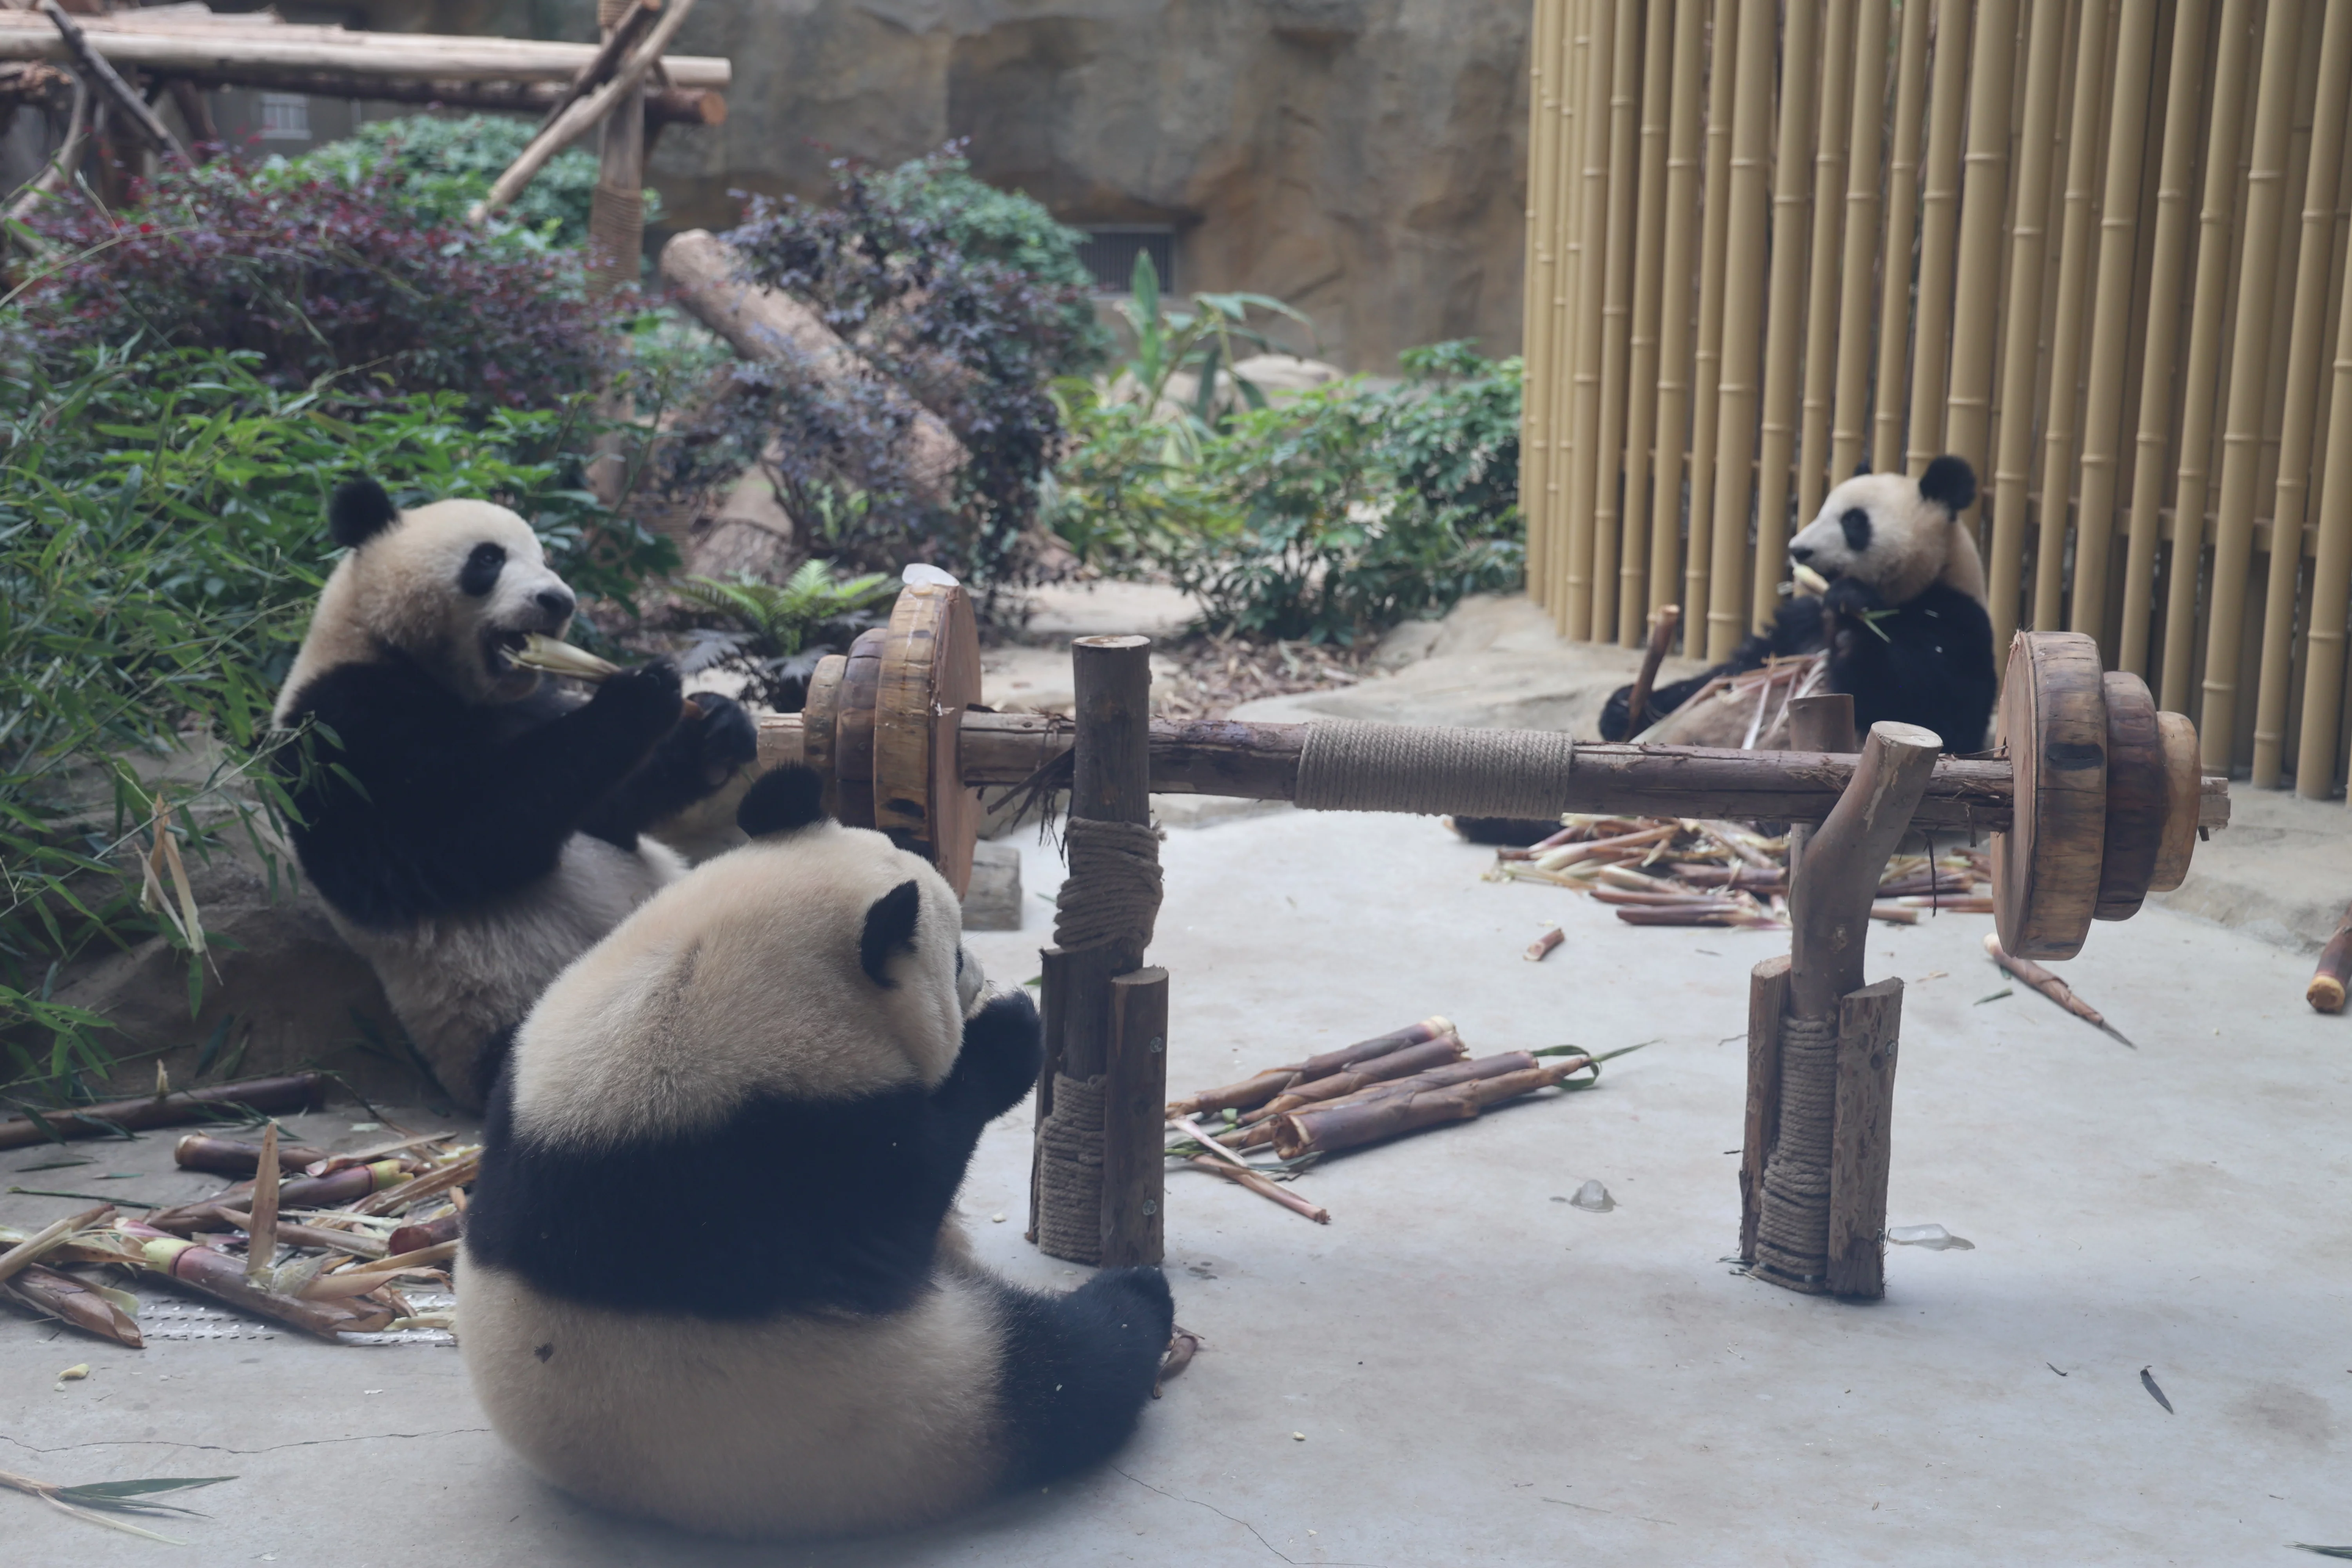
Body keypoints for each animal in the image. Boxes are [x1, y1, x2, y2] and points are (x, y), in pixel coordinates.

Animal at [270, 478, 757, 1108]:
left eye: (545, 558)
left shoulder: (530, 704)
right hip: (529, 1021)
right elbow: (465, 836)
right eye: (488, 559)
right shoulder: (339, 733)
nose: (559, 601)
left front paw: (717, 726)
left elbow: (608, 810)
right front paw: (643, 691)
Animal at [457, 765, 1176, 1540]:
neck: (696, 983)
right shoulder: (789, 1159)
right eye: (954, 955)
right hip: (926, 1395)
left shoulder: (535, 1079)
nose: (983, 972)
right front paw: (1010, 1033)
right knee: (1072, 1370)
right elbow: (913, 1179)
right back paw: (1139, 1296)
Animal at [1600, 454, 1998, 753]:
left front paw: (1850, 623)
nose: (1798, 549)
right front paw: (1623, 707)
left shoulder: (1956, 621)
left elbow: (1937, 712)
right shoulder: (1797, 623)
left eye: (1854, 521)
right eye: (1822, 510)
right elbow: (1731, 673)